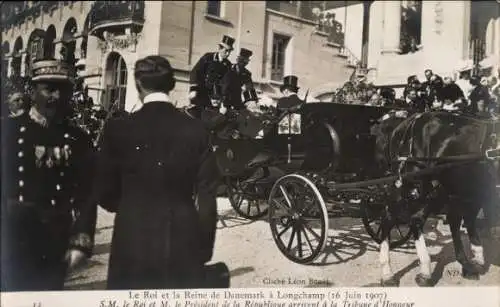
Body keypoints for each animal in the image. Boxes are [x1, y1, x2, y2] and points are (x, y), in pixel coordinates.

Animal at [372, 111, 500, 288]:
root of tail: (407, 122)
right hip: (416, 186)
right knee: (395, 218)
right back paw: (392, 273)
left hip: (451, 188)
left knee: (457, 219)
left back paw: (470, 263)